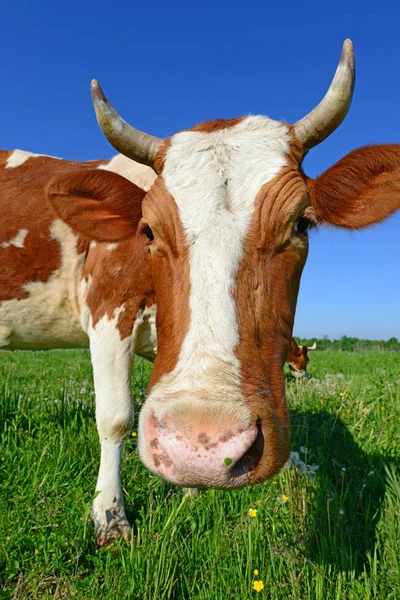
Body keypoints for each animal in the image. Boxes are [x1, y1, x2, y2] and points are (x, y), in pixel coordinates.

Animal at [0, 38, 400, 544]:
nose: (208, 446)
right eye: (147, 230)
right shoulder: (109, 311)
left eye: (301, 224)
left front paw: (190, 489)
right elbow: (115, 417)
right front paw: (110, 516)